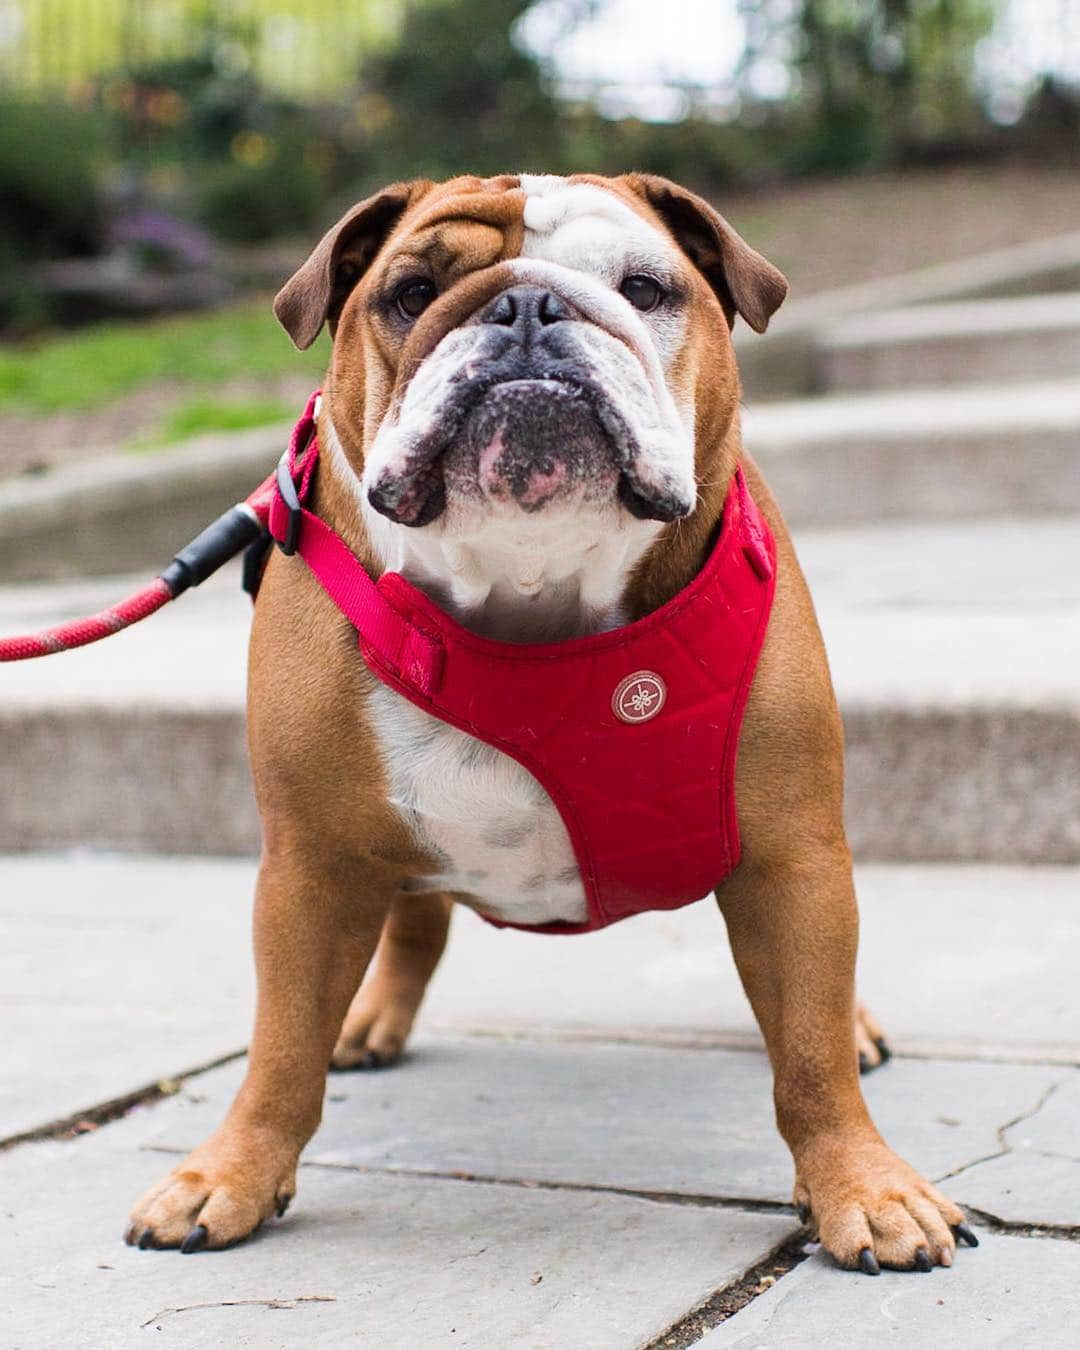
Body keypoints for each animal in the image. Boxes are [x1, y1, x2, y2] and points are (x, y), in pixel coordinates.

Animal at [124, 174, 972, 1269]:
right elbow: (280, 1049)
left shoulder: (792, 857)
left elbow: (810, 1055)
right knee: (413, 923)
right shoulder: (311, 865)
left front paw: (862, 1186)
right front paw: (227, 1173)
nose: (527, 308)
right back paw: (367, 1019)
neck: (533, 587)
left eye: (645, 288)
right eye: (411, 292)